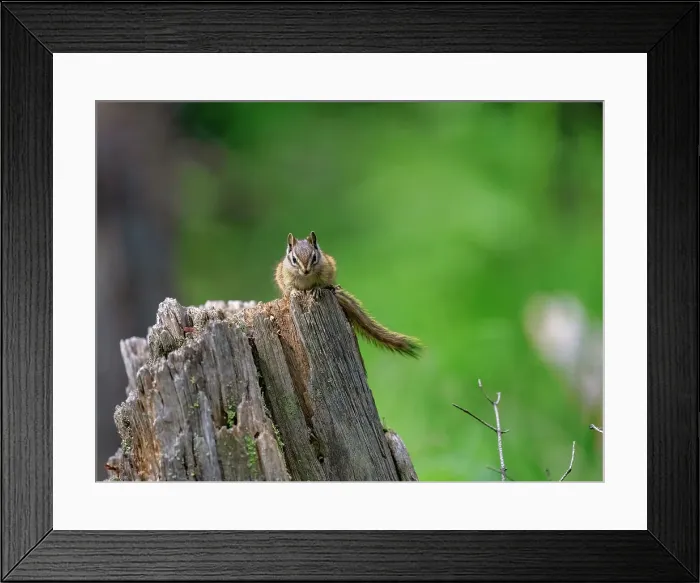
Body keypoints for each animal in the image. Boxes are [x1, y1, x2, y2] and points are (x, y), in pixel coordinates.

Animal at [275, 231, 422, 358]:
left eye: (314, 257)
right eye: (294, 259)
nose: (306, 270)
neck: (306, 278)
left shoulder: (326, 270)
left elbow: (321, 283)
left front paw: (317, 289)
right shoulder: (285, 276)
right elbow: (290, 287)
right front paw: (294, 292)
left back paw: (332, 287)